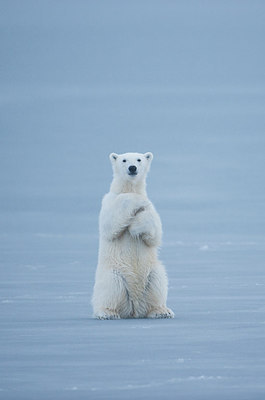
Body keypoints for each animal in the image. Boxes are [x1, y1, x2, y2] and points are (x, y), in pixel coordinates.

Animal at [91, 152, 173, 320]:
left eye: (139, 159)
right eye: (124, 160)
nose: (132, 168)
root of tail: (134, 307)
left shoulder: (151, 209)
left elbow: (155, 233)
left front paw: (136, 227)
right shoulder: (109, 201)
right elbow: (110, 224)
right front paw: (135, 200)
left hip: (151, 271)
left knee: (158, 281)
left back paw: (162, 311)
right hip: (113, 272)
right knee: (111, 286)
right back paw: (107, 312)